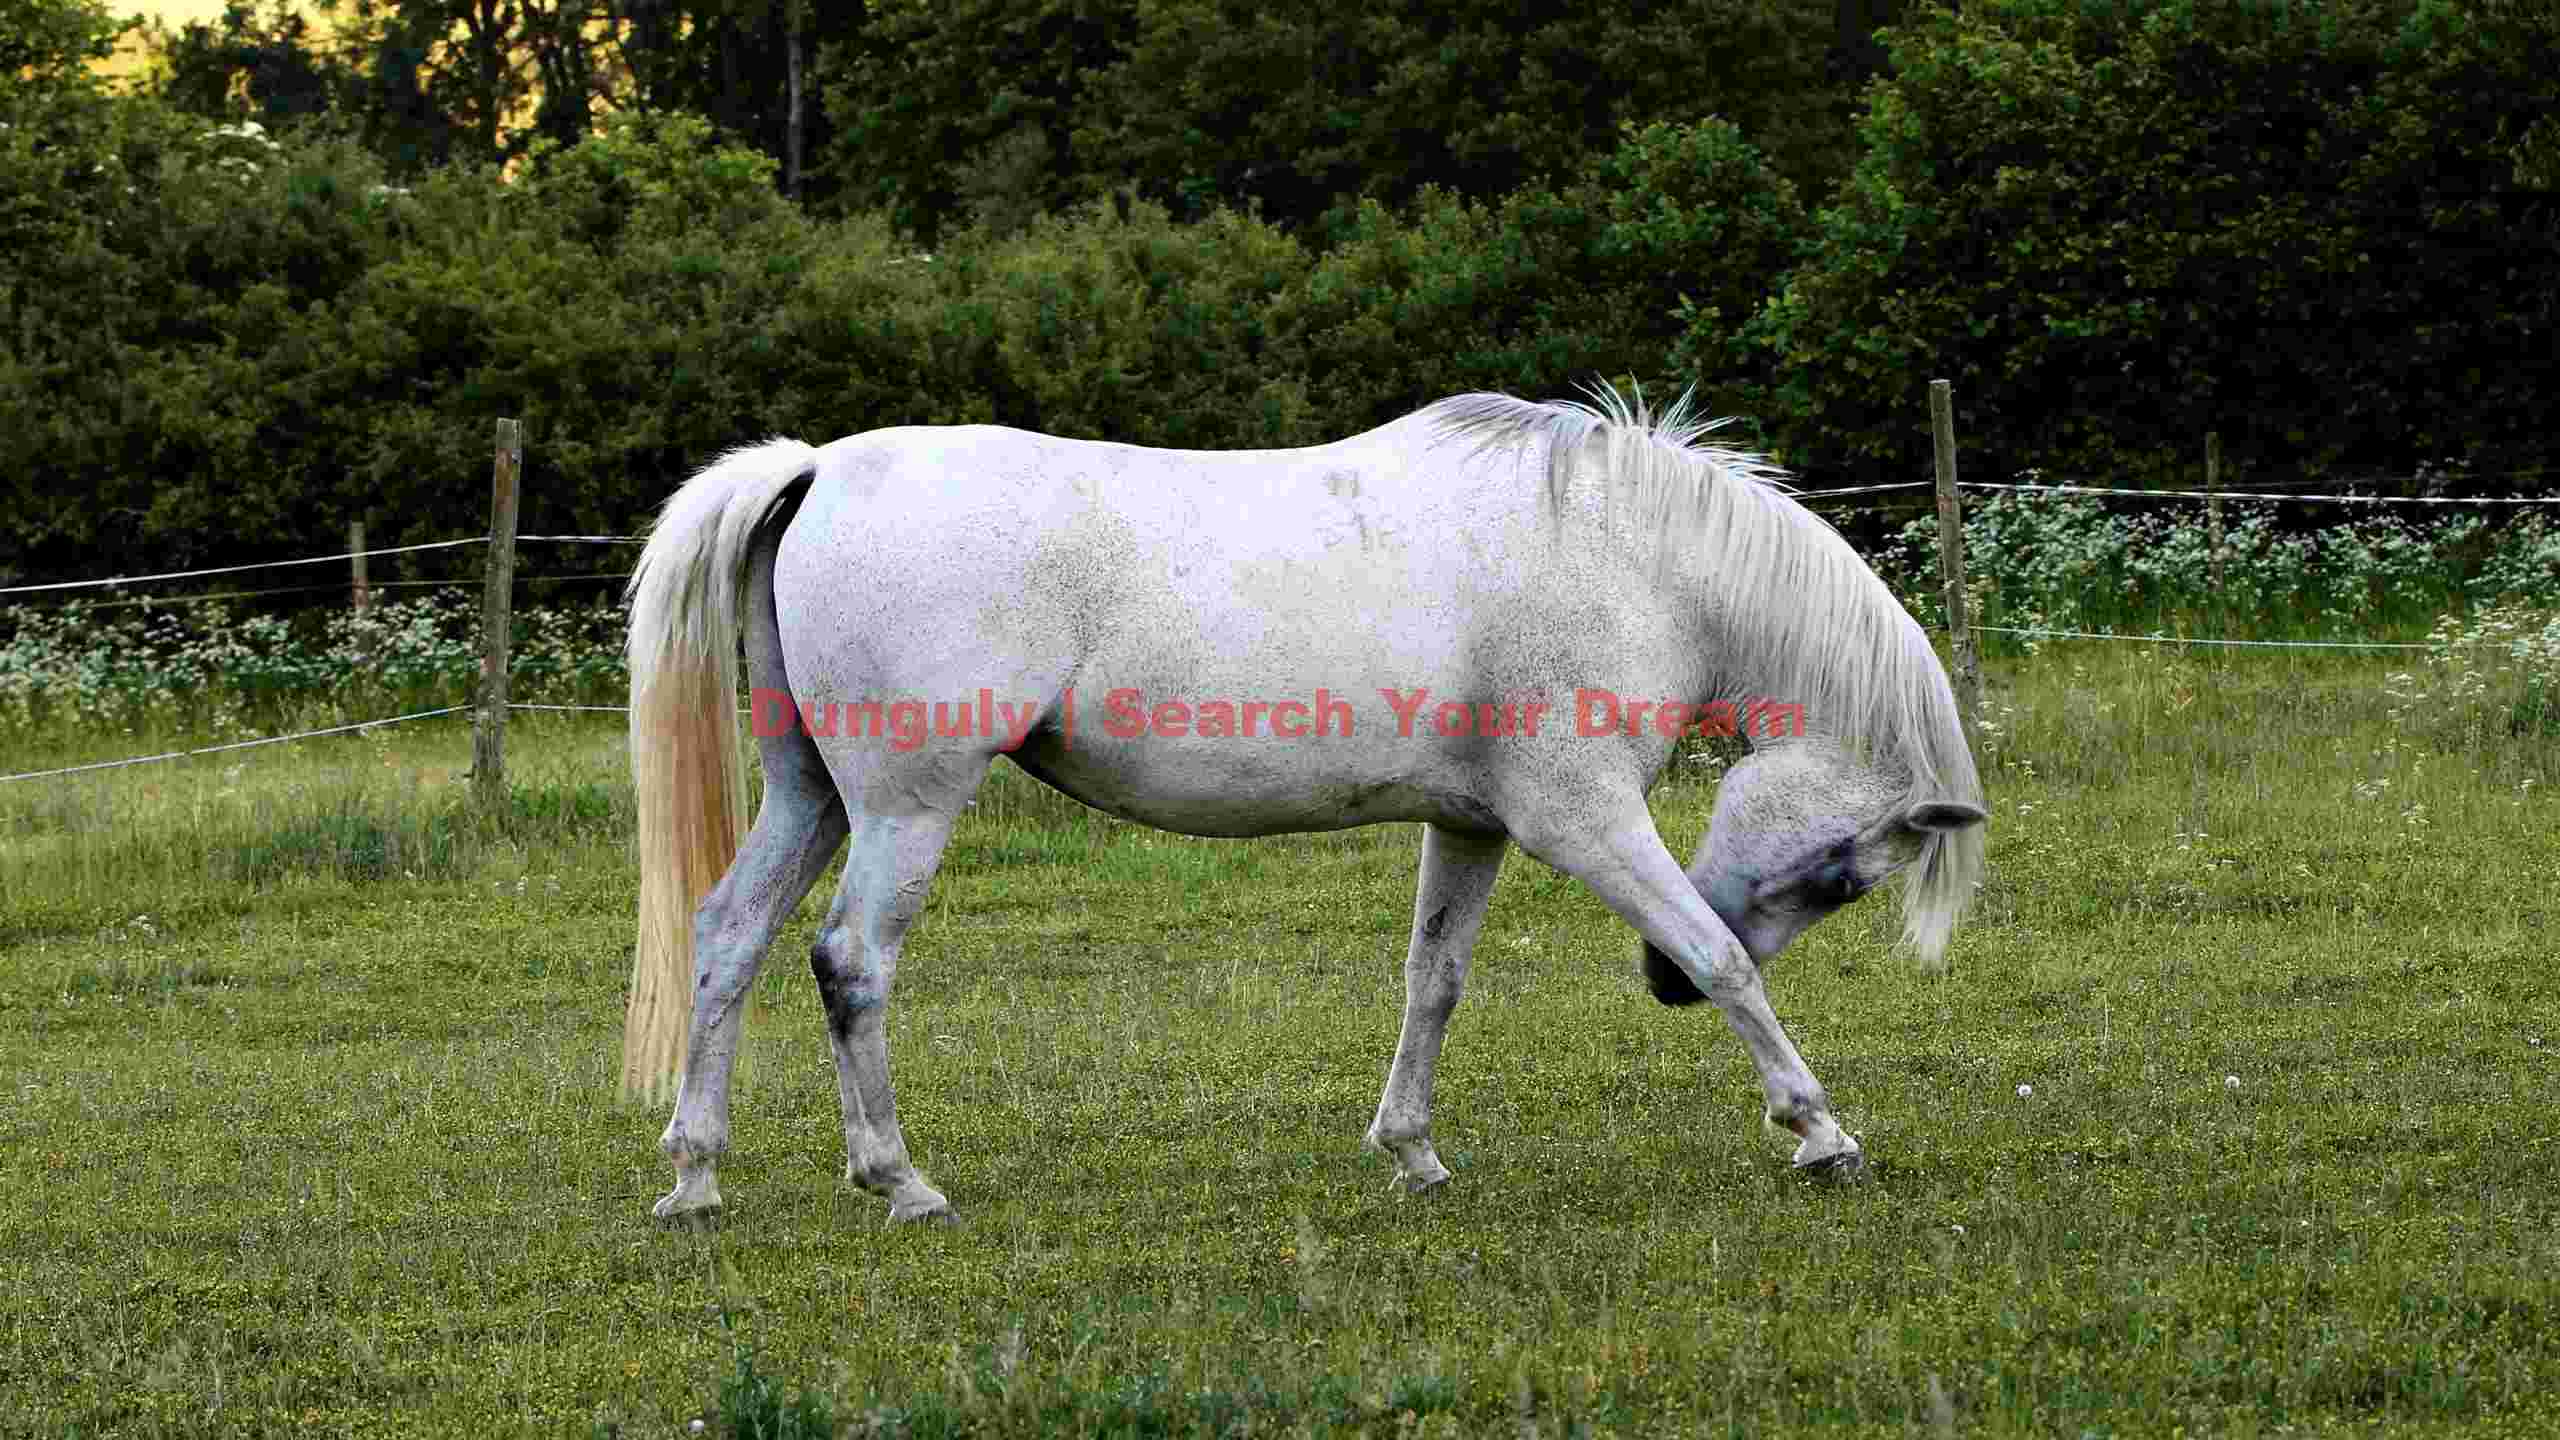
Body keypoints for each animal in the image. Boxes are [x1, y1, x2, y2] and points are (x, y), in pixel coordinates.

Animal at [618, 384, 1986, 1223]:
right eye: (1844, 872)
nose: (1649, 990)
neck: (1623, 549)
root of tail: (815, 470)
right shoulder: (1583, 824)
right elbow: (1725, 959)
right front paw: (1817, 1129)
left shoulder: (1472, 826)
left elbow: (1433, 981)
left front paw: (1412, 1151)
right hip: (905, 810)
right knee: (849, 962)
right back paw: (899, 1179)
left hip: (811, 797)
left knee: (729, 935)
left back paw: (695, 1173)